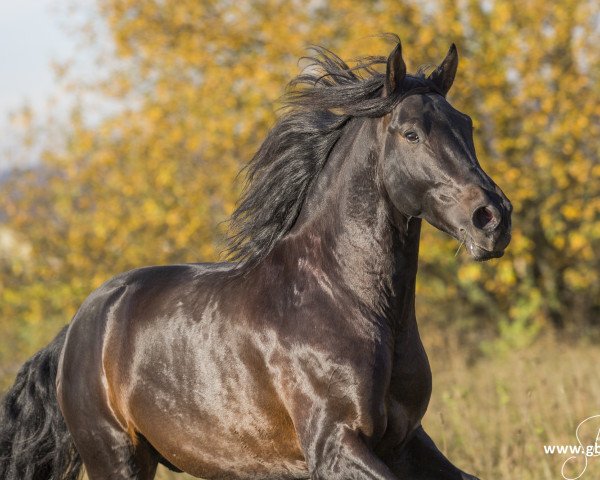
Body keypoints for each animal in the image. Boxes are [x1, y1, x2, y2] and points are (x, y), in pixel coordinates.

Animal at [0, 38, 510, 480]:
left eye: (466, 125)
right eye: (411, 134)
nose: (493, 218)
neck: (349, 301)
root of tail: (76, 329)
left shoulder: (404, 442)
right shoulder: (334, 446)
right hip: (115, 456)